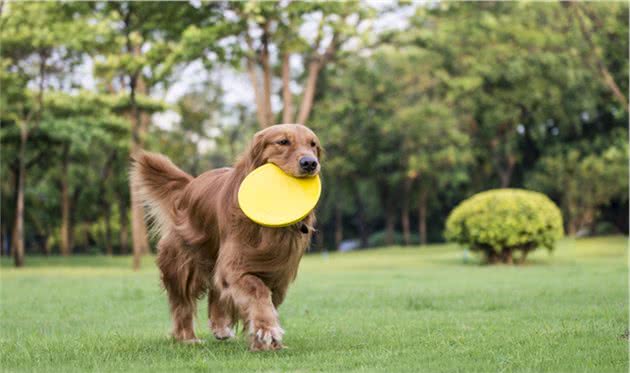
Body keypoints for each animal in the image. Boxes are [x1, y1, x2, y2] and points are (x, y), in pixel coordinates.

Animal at [131, 123, 324, 350]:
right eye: (283, 142)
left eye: (313, 144)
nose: (310, 163)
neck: (269, 229)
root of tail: (190, 184)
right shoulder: (235, 264)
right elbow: (257, 291)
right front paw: (266, 329)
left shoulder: (279, 273)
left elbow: (265, 300)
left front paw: (264, 341)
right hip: (184, 262)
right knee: (183, 302)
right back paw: (187, 337)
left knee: (216, 290)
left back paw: (220, 326)